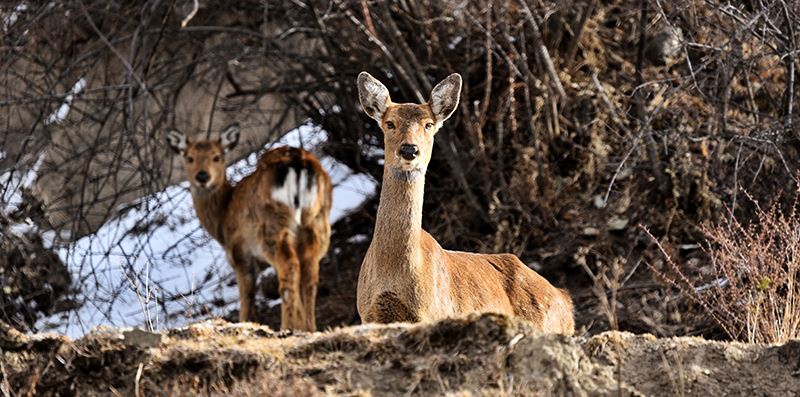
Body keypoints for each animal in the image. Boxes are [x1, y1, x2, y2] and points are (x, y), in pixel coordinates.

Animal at [166, 124, 332, 332]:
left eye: (217, 157)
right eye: (189, 157)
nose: (202, 176)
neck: (222, 219)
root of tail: (297, 162)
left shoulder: (240, 254)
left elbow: (247, 299)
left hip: (272, 226)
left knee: (290, 267)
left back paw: (286, 327)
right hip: (317, 221)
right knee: (309, 271)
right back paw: (310, 328)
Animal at [356, 72, 576, 334]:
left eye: (428, 125)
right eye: (390, 123)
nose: (409, 150)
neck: (394, 273)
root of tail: (566, 301)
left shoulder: (433, 315)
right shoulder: (368, 314)